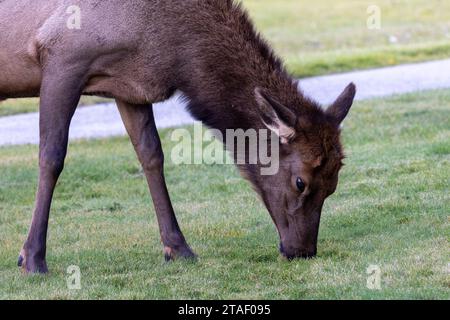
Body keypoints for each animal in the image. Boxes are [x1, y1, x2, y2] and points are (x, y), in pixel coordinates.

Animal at [0, 0, 356, 276]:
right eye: (300, 182)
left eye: (333, 184)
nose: (303, 251)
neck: (171, 49)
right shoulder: (62, 57)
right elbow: (52, 156)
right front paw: (32, 258)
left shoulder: (129, 85)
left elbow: (151, 155)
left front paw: (178, 247)